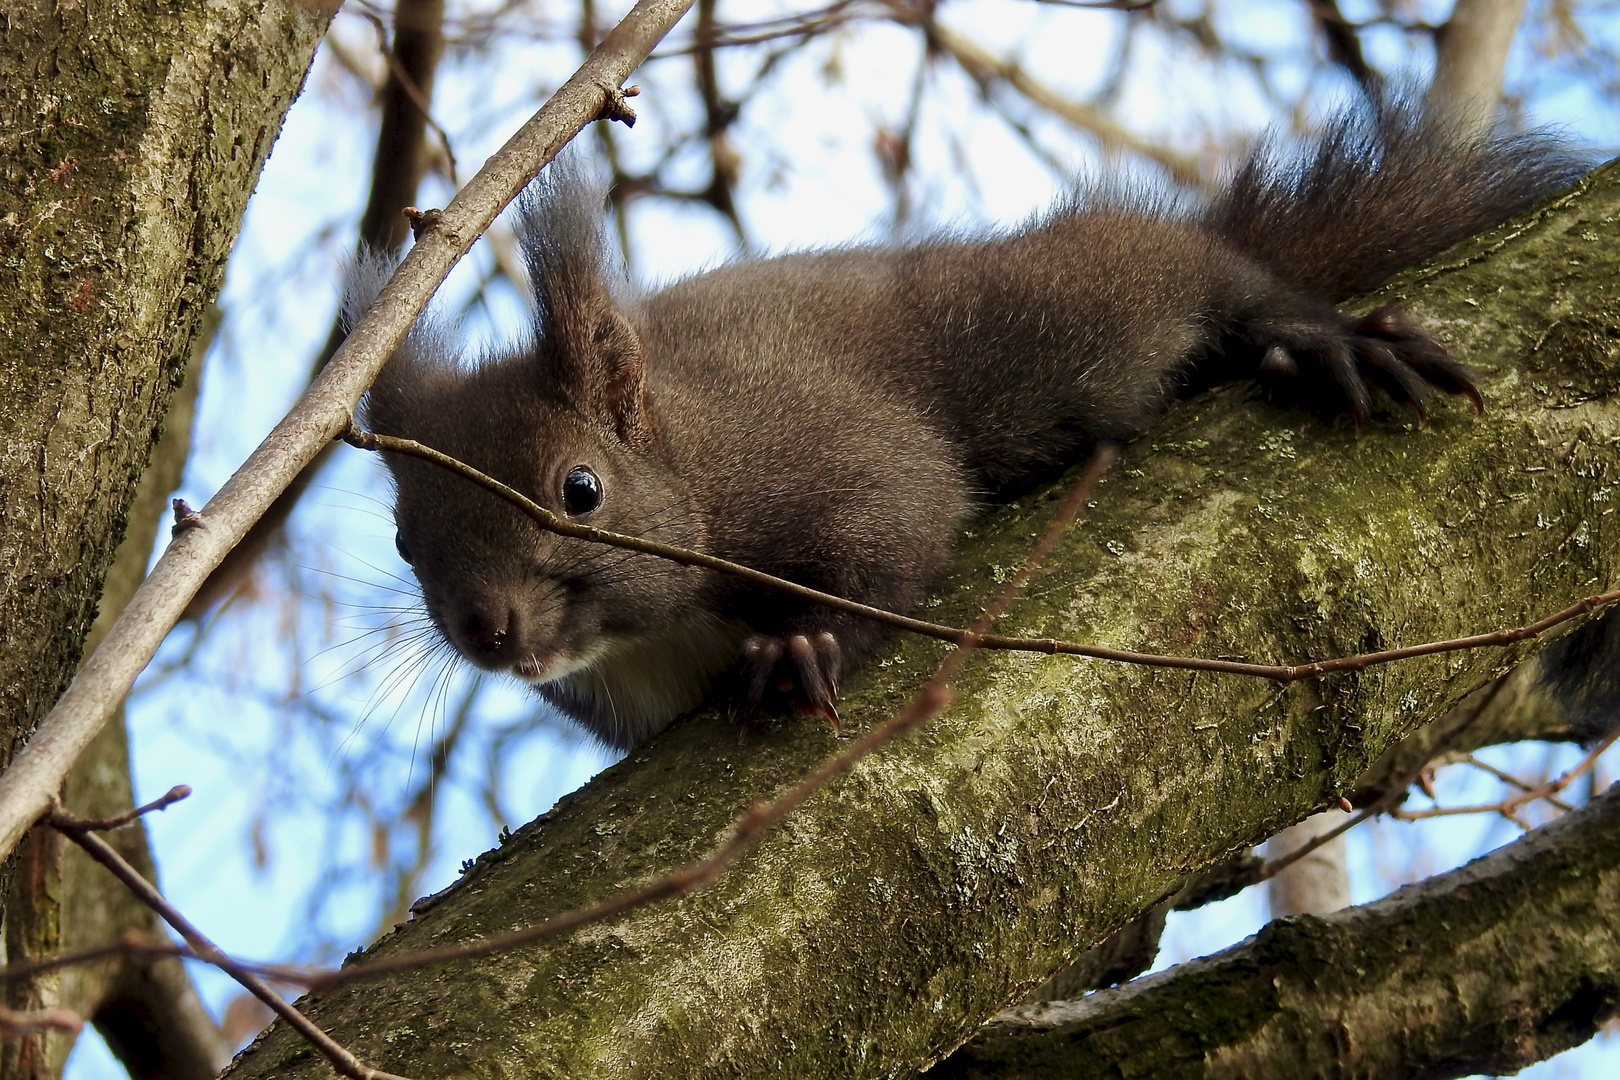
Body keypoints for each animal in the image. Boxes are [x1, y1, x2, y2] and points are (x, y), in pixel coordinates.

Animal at [354, 105, 1581, 757]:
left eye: (581, 489)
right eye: (406, 541)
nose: (485, 628)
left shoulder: (810, 445)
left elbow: (899, 528)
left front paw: (805, 645)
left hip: (1041, 329)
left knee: (1186, 274)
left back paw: (1308, 333)